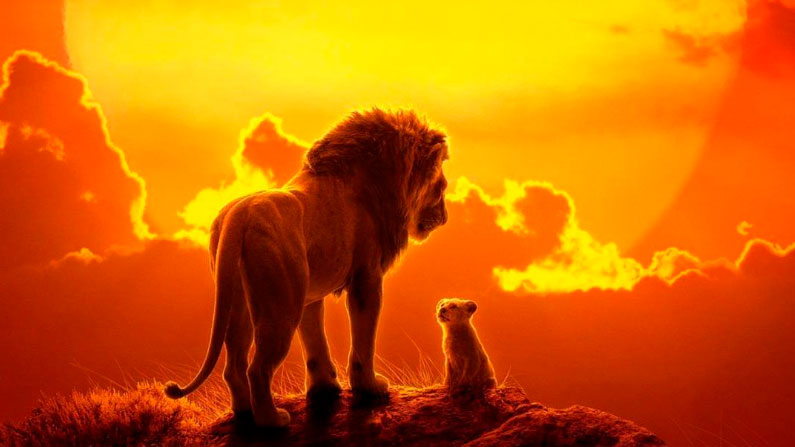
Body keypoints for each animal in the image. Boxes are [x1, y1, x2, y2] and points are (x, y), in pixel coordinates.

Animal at [164, 109, 449, 428]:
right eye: (441, 188)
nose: (445, 217)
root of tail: (239, 216)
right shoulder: (367, 277)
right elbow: (363, 338)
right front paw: (370, 388)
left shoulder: (310, 292)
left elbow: (314, 341)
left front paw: (325, 388)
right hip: (281, 306)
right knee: (257, 368)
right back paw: (272, 421)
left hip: (240, 300)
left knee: (234, 364)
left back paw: (244, 413)